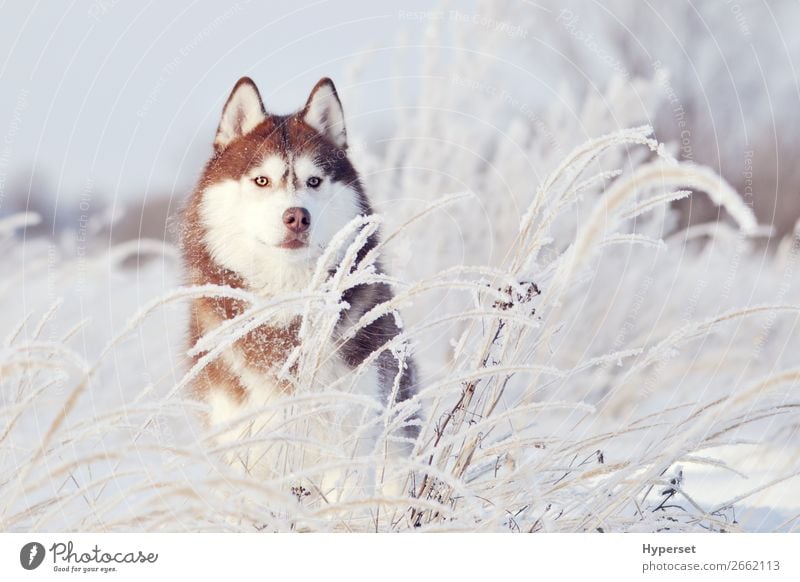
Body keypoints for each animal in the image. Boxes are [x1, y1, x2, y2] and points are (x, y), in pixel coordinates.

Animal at [181, 75, 418, 500]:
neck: (288, 302)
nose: (296, 217)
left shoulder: (350, 435)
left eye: (314, 181)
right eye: (261, 180)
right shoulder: (247, 442)